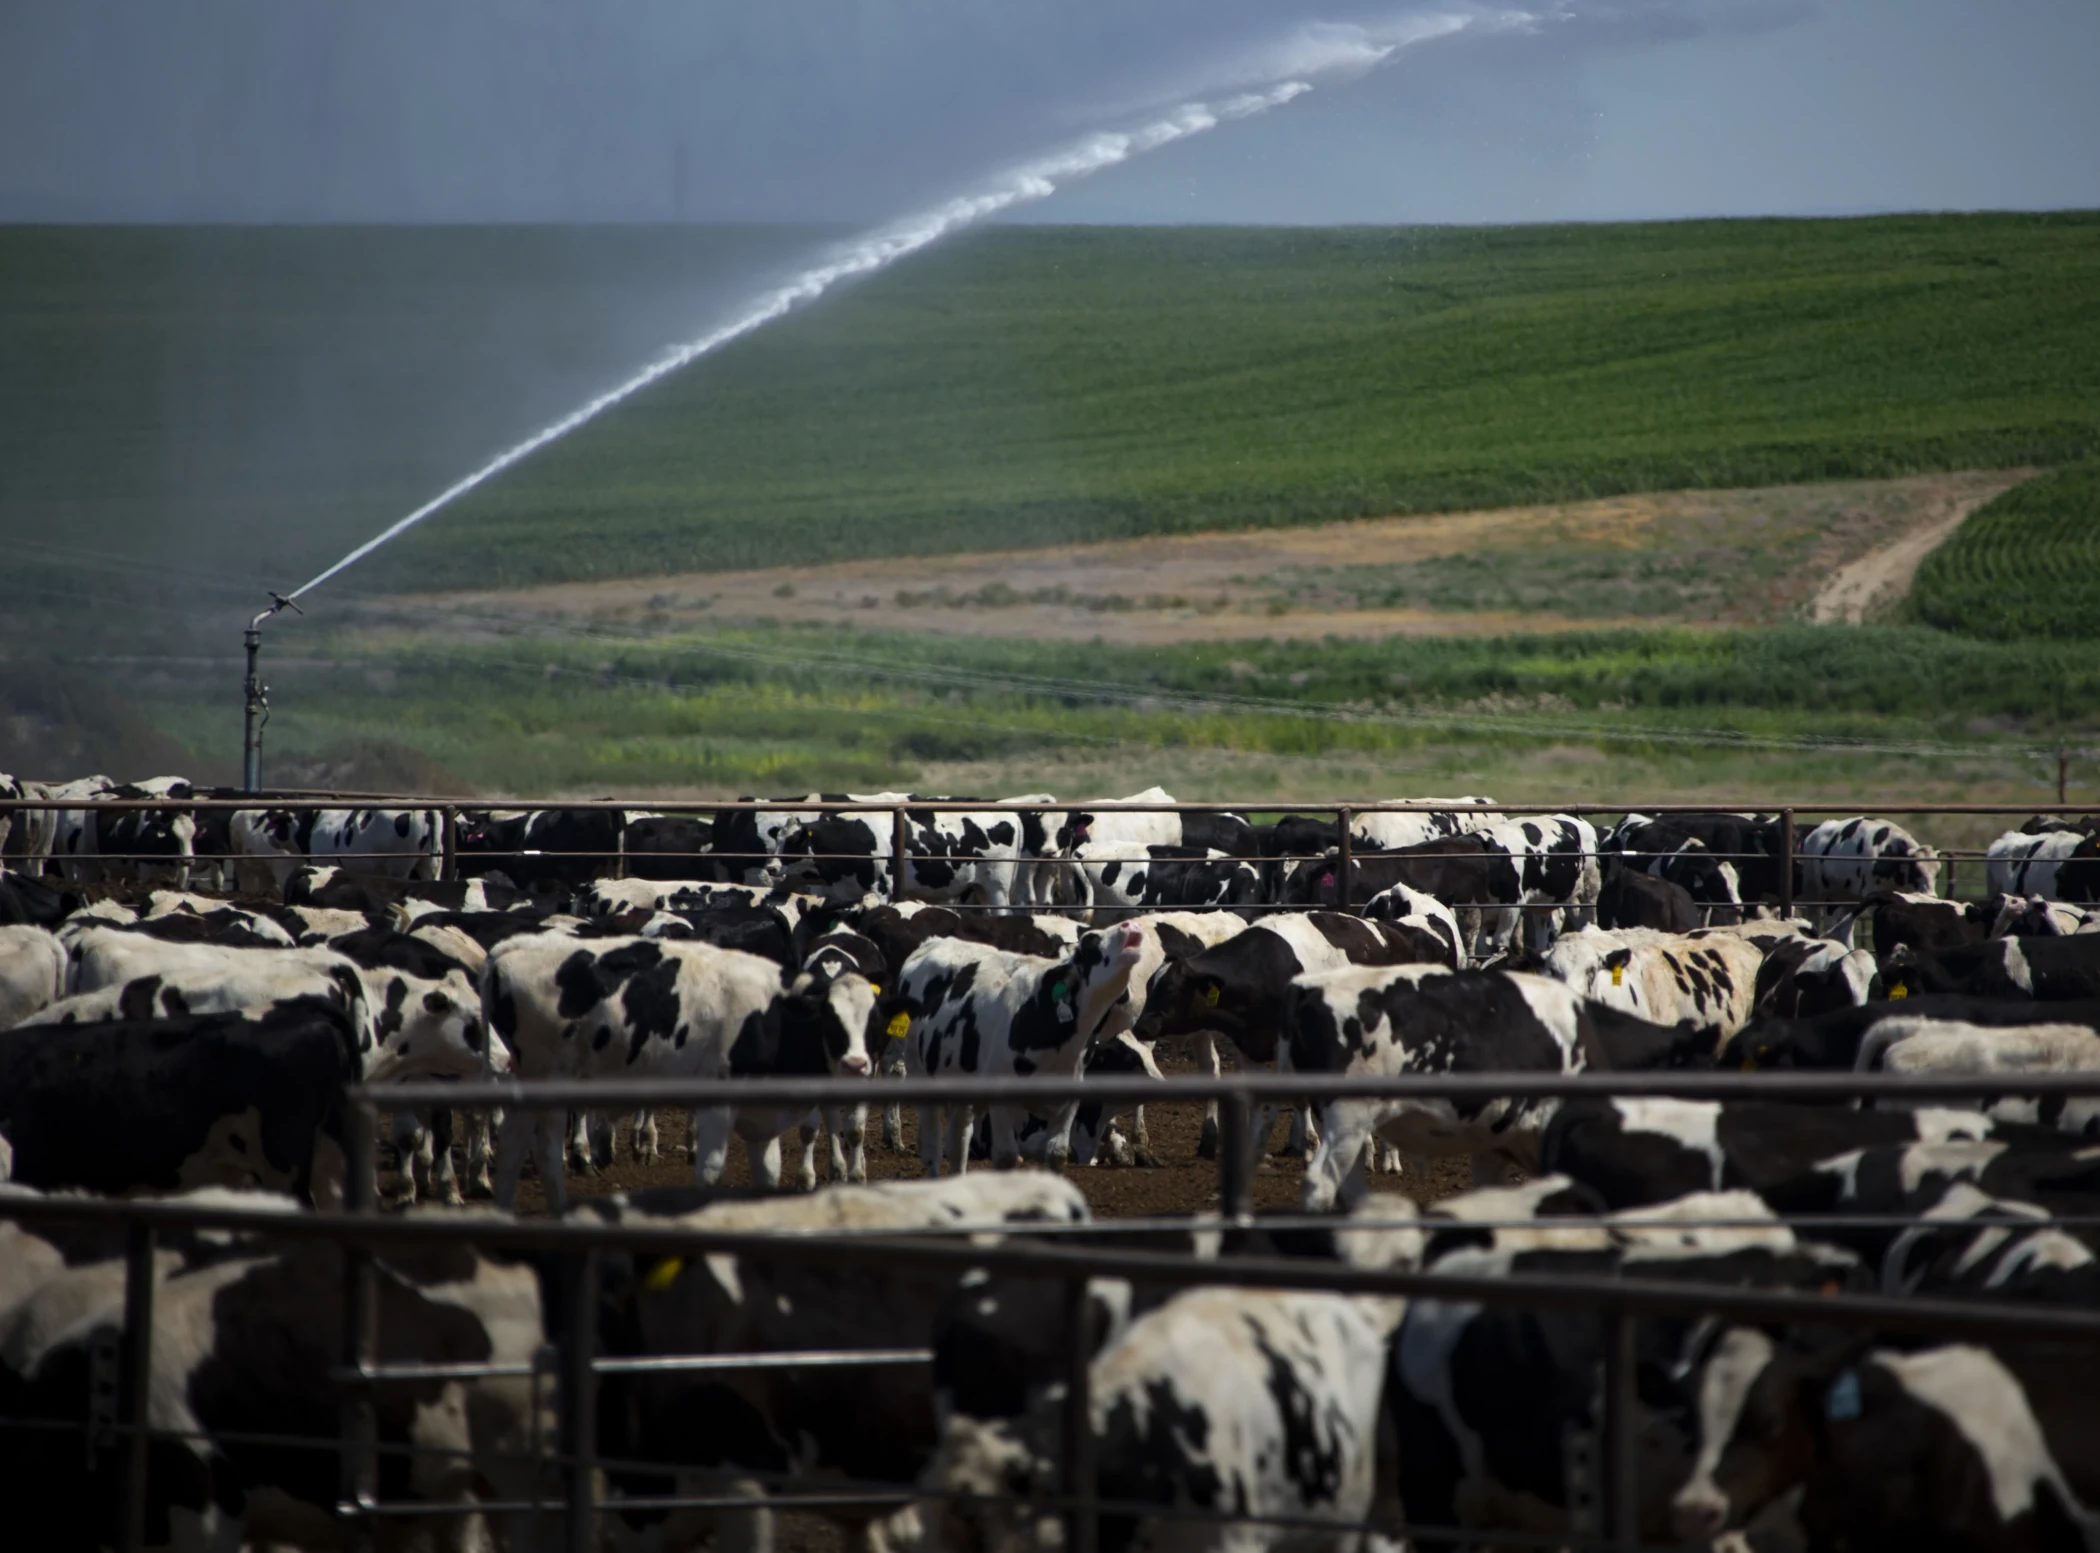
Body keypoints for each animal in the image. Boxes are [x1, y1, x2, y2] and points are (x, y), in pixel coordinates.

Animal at [487, 927, 873, 1208]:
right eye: (831, 1019)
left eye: (874, 1020)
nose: (856, 1065)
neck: (774, 1015)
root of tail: (514, 947)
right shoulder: (719, 1104)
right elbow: (711, 1173)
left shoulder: (762, 1118)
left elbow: (768, 1176)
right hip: (550, 1078)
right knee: (547, 1154)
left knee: (511, 1148)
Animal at [890, 915, 1142, 1166]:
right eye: (1090, 941)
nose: (1129, 924)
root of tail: (931, 942)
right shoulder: (1001, 1098)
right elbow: (1007, 1155)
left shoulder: (1068, 1101)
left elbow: (1057, 1153)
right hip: (918, 1072)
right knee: (932, 1147)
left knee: (958, 1142)